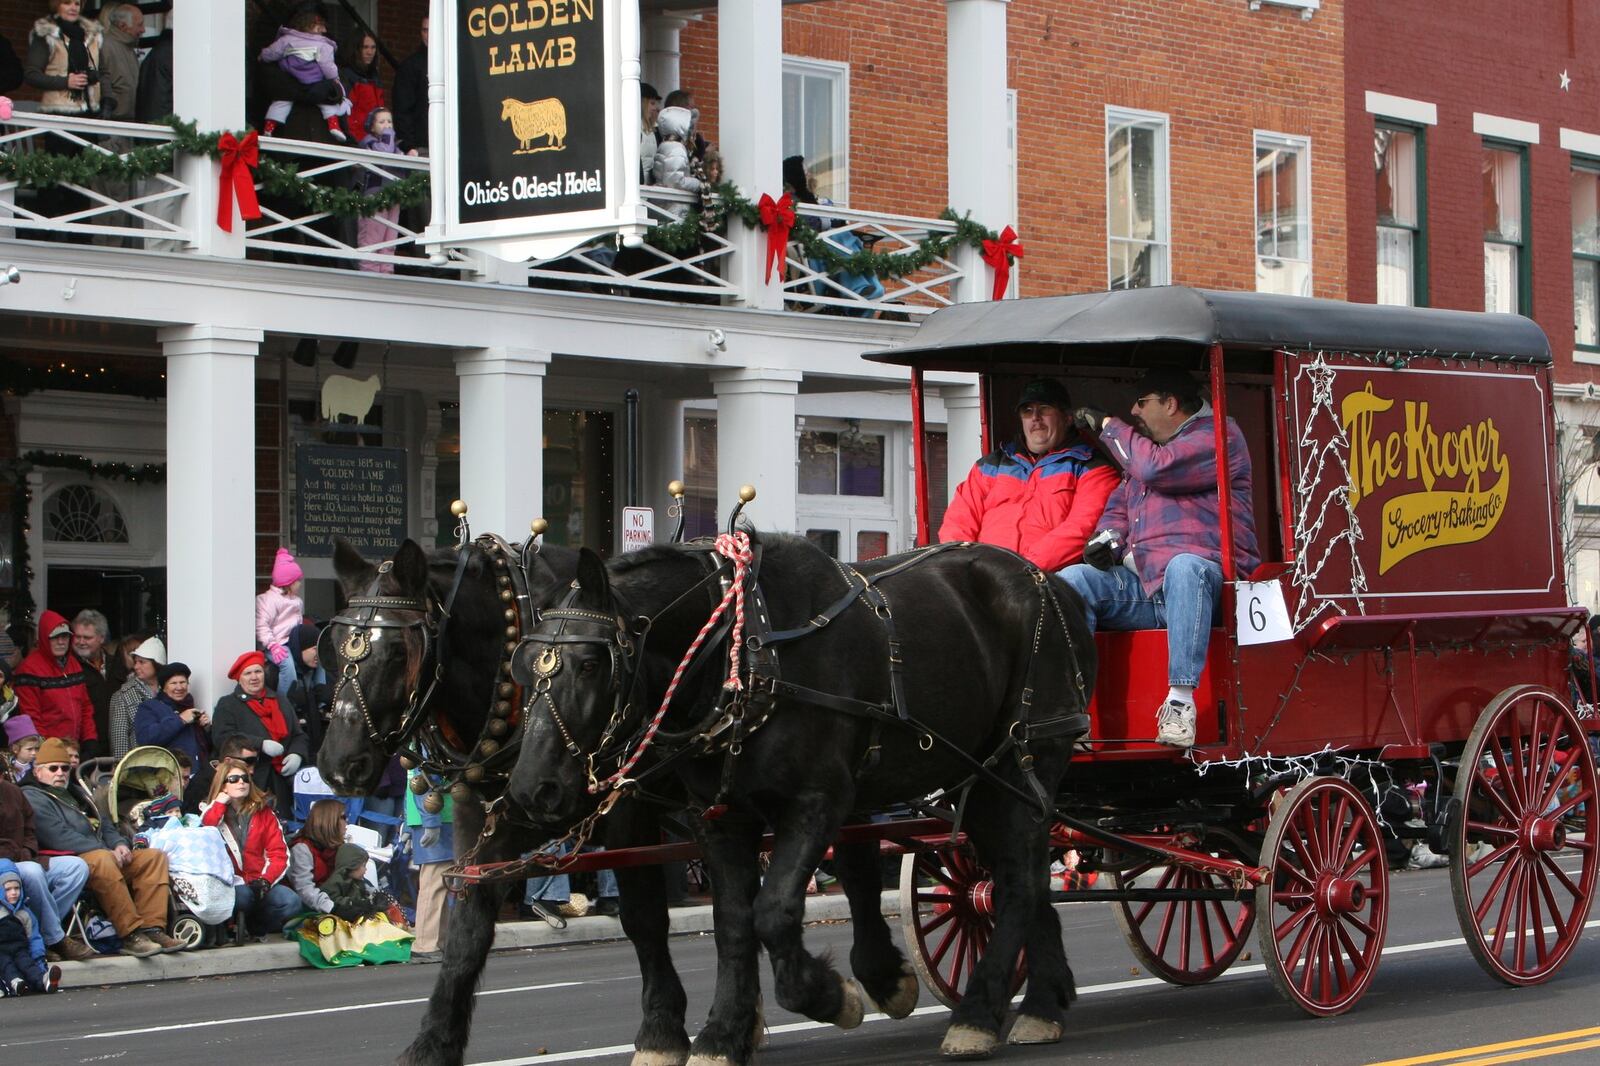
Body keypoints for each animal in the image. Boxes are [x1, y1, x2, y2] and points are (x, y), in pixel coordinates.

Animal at [318, 534, 915, 1062]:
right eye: (333, 648)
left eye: (398, 650)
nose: (338, 764)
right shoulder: (485, 818)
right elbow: (465, 932)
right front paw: (432, 1046)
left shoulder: (627, 808)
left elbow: (644, 915)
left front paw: (663, 1033)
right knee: (851, 861)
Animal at [505, 534, 1094, 1056]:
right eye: (523, 667)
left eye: (590, 664)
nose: (532, 789)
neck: (747, 653)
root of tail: (1052, 582)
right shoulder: (720, 817)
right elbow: (733, 924)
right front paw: (722, 1035)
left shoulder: (817, 801)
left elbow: (772, 911)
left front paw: (833, 997)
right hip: (982, 783)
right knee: (1023, 876)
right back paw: (1042, 1003)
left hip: (1025, 763)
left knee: (1018, 881)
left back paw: (979, 1014)